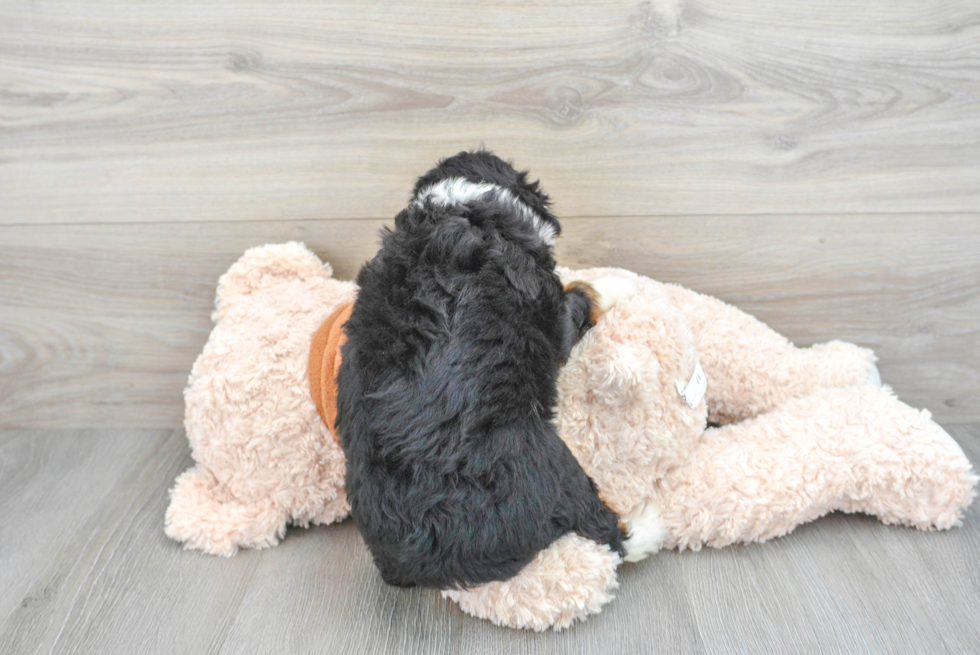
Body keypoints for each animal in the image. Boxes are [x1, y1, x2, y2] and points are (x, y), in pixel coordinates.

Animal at [336, 152, 652, 588]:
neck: (466, 207)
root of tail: (427, 554)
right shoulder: (553, 317)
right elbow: (583, 293)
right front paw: (620, 283)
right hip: (549, 466)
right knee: (605, 529)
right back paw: (648, 521)